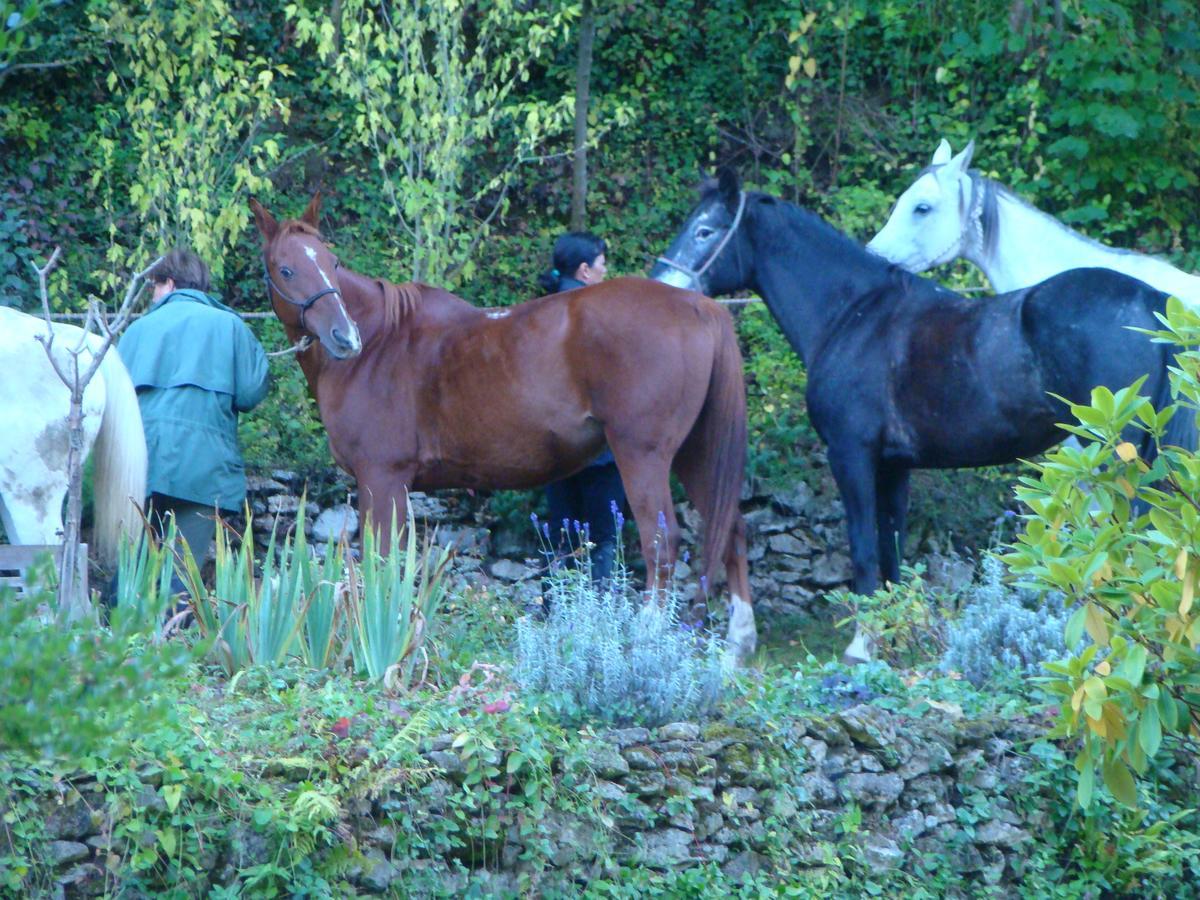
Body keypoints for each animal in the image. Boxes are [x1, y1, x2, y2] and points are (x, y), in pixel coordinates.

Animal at [250, 196, 758, 662]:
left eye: (331, 263)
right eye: (286, 269)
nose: (344, 338)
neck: (380, 343)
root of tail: (698, 305)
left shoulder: (382, 477)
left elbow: (385, 559)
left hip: (644, 455)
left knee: (661, 542)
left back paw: (648, 640)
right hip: (696, 453)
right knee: (730, 528)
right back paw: (737, 645)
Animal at [652, 169, 1195, 662]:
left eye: (705, 230)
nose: (663, 285)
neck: (853, 315)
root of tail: (1151, 301)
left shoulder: (851, 456)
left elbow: (864, 549)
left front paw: (861, 646)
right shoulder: (894, 467)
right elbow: (892, 551)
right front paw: (893, 636)